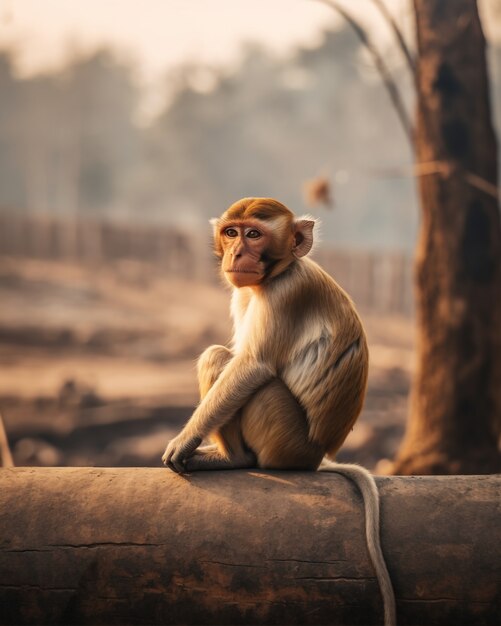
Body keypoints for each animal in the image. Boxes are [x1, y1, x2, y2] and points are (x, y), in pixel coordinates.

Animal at [162, 199, 396, 624]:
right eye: (231, 233)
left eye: (254, 234)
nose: (237, 254)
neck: (280, 272)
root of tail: (317, 456)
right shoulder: (243, 294)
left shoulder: (286, 294)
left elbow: (251, 367)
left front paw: (185, 440)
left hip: (283, 438)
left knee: (225, 361)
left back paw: (234, 459)